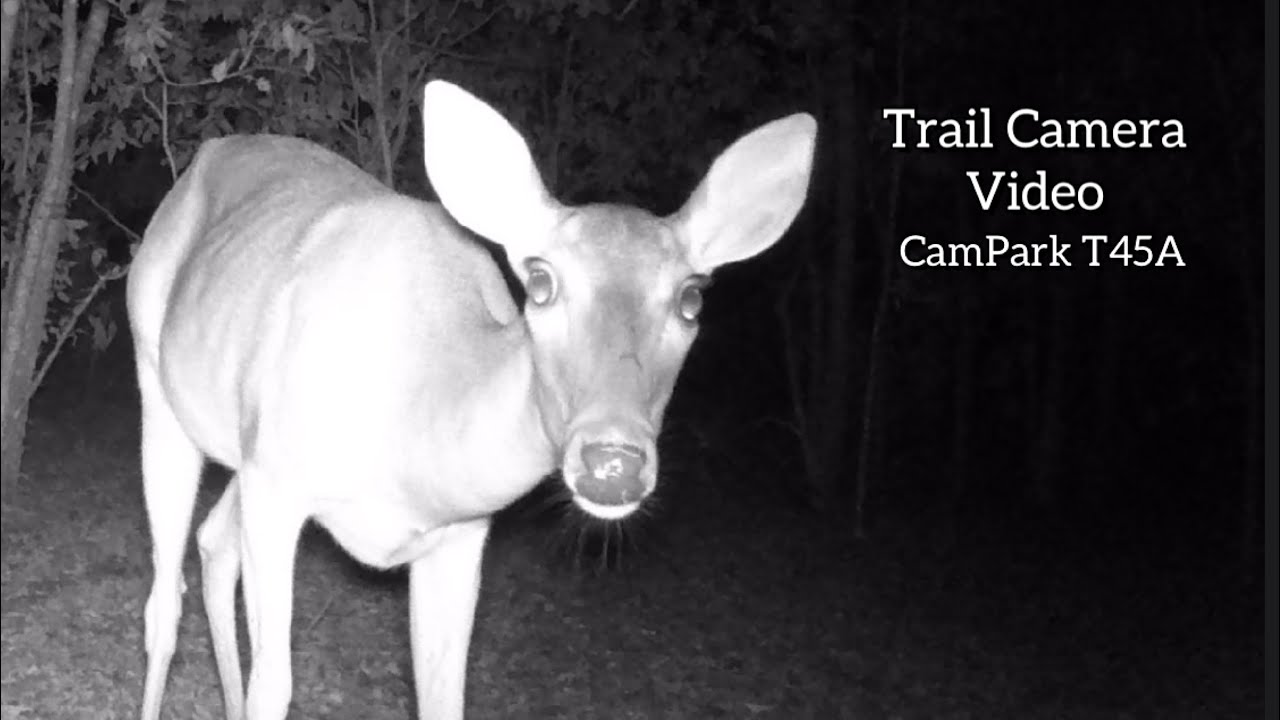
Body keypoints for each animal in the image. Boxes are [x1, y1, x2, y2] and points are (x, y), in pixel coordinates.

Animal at [127, 79, 816, 719]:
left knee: (214, 543)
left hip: (243, 441)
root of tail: (208, 154)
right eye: (539, 282)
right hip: (158, 377)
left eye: (692, 298)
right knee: (164, 602)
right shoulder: (279, 484)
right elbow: (275, 687)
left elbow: (443, 698)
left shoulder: (458, 536)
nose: (612, 462)